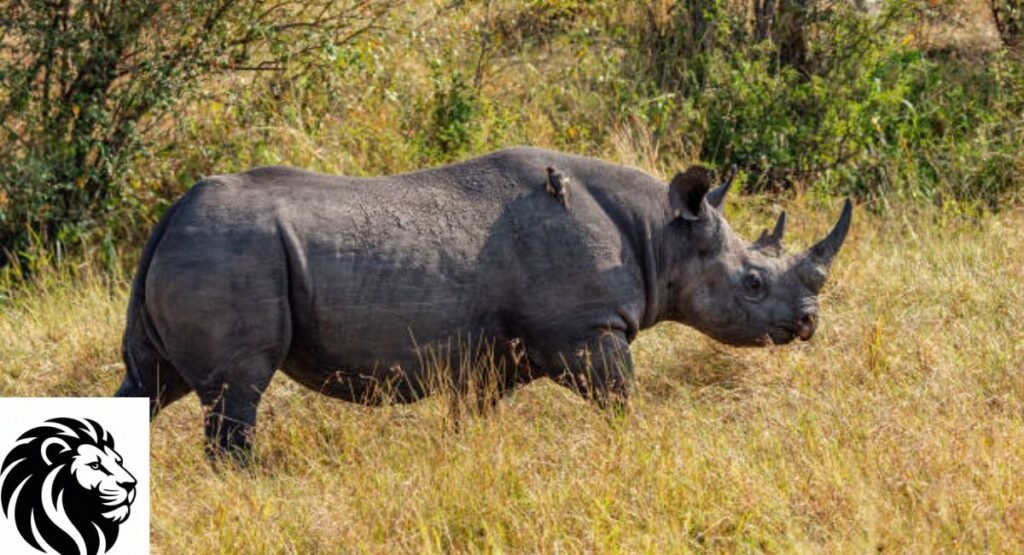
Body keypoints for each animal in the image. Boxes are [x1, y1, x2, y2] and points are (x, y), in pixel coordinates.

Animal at [114, 147, 851, 456]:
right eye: (752, 283)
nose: (808, 324)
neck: (660, 233)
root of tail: (169, 216)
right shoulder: (585, 330)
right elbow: (621, 400)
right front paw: (633, 449)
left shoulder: (493, 353)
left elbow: (470, 415)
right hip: (231, 251)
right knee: (236, 392)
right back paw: (250, 478)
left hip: (203, 249)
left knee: (149, 383)